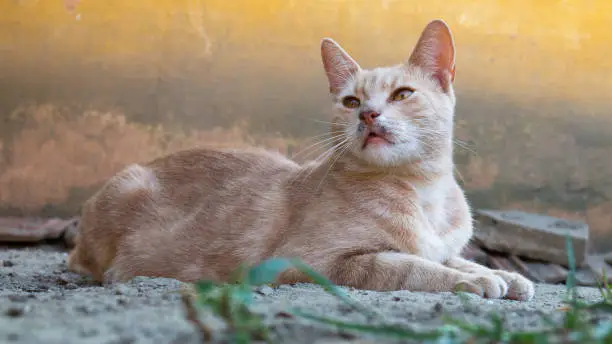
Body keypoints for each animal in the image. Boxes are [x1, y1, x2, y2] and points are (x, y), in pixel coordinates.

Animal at [68, 19, 536, 300]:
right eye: (351, 102)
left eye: (403, 94)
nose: (369, 114)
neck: (425, 194)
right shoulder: (310, 263)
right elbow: (408, 266)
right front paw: (478, 278)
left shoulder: (438, 243)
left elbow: (446, 256)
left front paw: (511, 276)